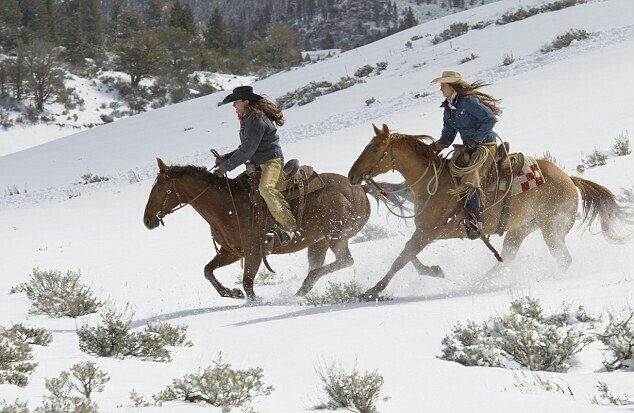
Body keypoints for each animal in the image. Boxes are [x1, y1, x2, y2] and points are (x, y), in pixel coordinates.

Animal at [141, 158, 372, 300]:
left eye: (159, 188)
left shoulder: (254, 252)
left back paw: (303, 287)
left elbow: (248, 285)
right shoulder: (232, 252)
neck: (227, 206)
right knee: (320, 264)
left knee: (345, 261)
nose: (147, 220)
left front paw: (254, 302)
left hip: (336, 236)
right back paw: (302, 289)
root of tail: (359, 189)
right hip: (319, 242)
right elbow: (208, 271)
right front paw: (231, 293)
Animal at [348, 124, 628, 298]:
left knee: (563, 260)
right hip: (522, 229)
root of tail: (570, 180)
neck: (434, 183)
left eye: (375, 148)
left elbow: (402, 258)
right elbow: (408, 255)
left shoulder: (429, 232)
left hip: (551, 228)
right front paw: (433, 271)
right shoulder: (425, 232)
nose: (352, 175)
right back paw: (476, 284)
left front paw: (372, 291)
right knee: (508, 258)